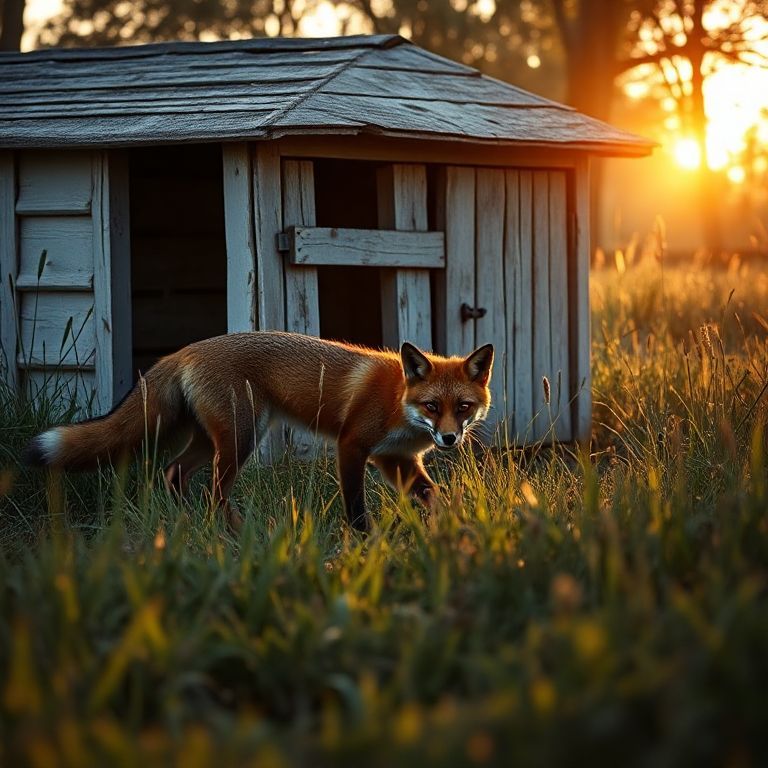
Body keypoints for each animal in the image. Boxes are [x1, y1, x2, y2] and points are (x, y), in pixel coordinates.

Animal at [24, 330, 496, 536]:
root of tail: (183, 350)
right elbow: (356, 506)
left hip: (215, 440)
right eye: (432, 406)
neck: (399, 401)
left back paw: (188, 523)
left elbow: (433, 495)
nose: (449, 439)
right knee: (212, 493)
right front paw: (364, 541)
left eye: (462, 408)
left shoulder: (395, 458)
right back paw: (232, 532)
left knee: (174, 472)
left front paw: (453, 527)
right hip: (239, 441)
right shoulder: (353, 446)